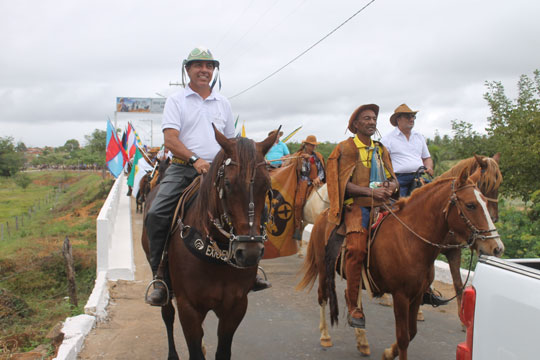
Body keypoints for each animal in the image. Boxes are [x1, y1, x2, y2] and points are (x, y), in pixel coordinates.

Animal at [141, 128, 276, 358]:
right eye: (228, 184)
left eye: (266, 185)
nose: (249, 252)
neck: (217, 253)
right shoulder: (188, 308)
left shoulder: (236, 306)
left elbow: (222, 352)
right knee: (167, 314)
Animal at [298, 167, 504, 358]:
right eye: (470, 205)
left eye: (485, 202)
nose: (497, 247)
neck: (409, 239)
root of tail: (324, 215)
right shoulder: (401, 295)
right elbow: (404, 337)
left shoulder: (417, 294)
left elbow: (411, 332)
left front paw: (389, 352)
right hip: (323, 268)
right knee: (323, 296)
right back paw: (325, 336)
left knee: (353, 298)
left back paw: (362, 341)